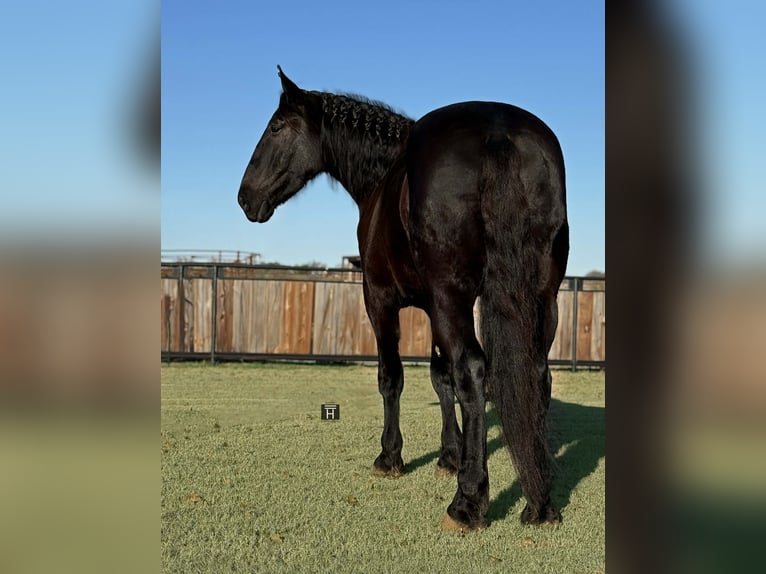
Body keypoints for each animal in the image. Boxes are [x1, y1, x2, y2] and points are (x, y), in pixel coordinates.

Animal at [238, 67, 569, 530]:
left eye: (275, 127)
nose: (245, 197)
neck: (383, 179)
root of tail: (498, 131)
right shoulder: (432, 306)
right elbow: (441, 377)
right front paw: (450, 455)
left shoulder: (381, 300)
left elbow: (392, 376)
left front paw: (390, 456)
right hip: (541, 298)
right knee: (536, 374)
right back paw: (539, 502)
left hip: (452, 298)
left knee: (473, 371)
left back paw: (467, 503)